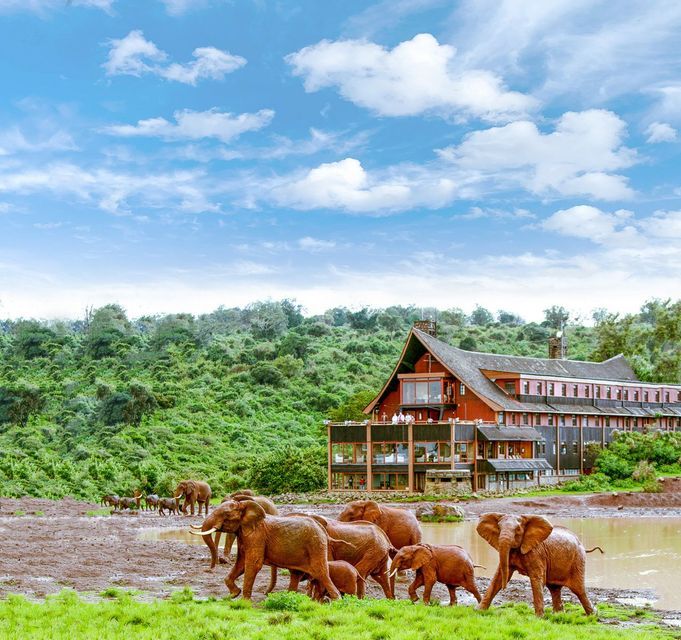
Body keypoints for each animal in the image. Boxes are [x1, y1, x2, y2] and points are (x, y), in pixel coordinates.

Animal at [189, 499, 341, 601]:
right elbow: (241, 563)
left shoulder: (257, 536)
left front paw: (244, 602)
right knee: (296, 574)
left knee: (321, 573)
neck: (245, 506)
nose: (210, 568)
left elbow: (253, 564)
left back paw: (337, 600)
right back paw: (288, 597)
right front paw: (234, 594)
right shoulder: (244, 535)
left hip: (316, 546)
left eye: (226, 514)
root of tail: (322, 529)